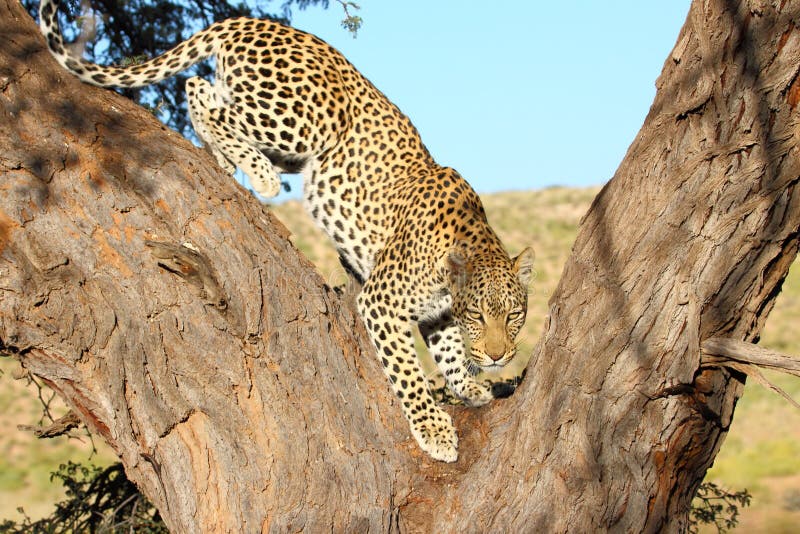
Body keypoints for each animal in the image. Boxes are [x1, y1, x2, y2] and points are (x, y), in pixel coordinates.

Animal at [39, 0, 534, 462]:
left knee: (203, 91)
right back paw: (257, 172)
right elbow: (407, 372)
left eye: (513, 315)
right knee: (203, 95)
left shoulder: (436, 315)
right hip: (305, 122)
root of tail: (251, 22)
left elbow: (449, 352)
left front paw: (469, 387)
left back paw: (224, 160)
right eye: (479, 316)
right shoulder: (381, 302)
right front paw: (435, 431)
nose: (499, 356)